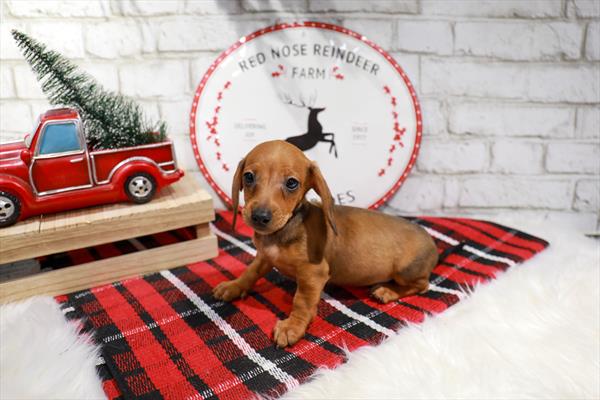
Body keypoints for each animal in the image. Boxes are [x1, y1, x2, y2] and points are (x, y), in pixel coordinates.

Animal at [213, 141, 438, 346]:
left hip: (405, 271)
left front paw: (292, 327)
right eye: (249, 177)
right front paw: (234, 286)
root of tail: (433, 244)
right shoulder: (265, 257)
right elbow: (250, 272)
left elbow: (301, 301)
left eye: (292, 183)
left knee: (422, 285)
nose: (260, 217)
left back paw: (388, 291)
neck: (286, 228)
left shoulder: (313, 274)